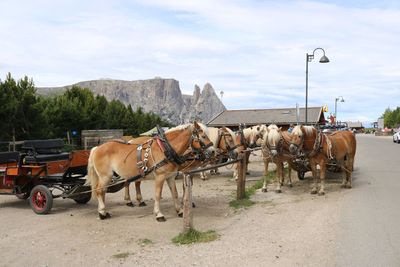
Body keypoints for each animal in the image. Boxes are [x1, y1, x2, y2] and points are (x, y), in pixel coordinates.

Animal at [86, 122, 214, 222]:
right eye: (203, 136)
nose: (213, 151)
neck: (166, 149)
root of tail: (96, 148)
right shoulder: (160, 177)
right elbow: (157, 195)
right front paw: (159, 214)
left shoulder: (171, 176)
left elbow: (175, 193)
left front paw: (180, 211)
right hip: (105, 176)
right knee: (99, 191)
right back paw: (102, 212)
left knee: (103, 191)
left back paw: (104, 210)